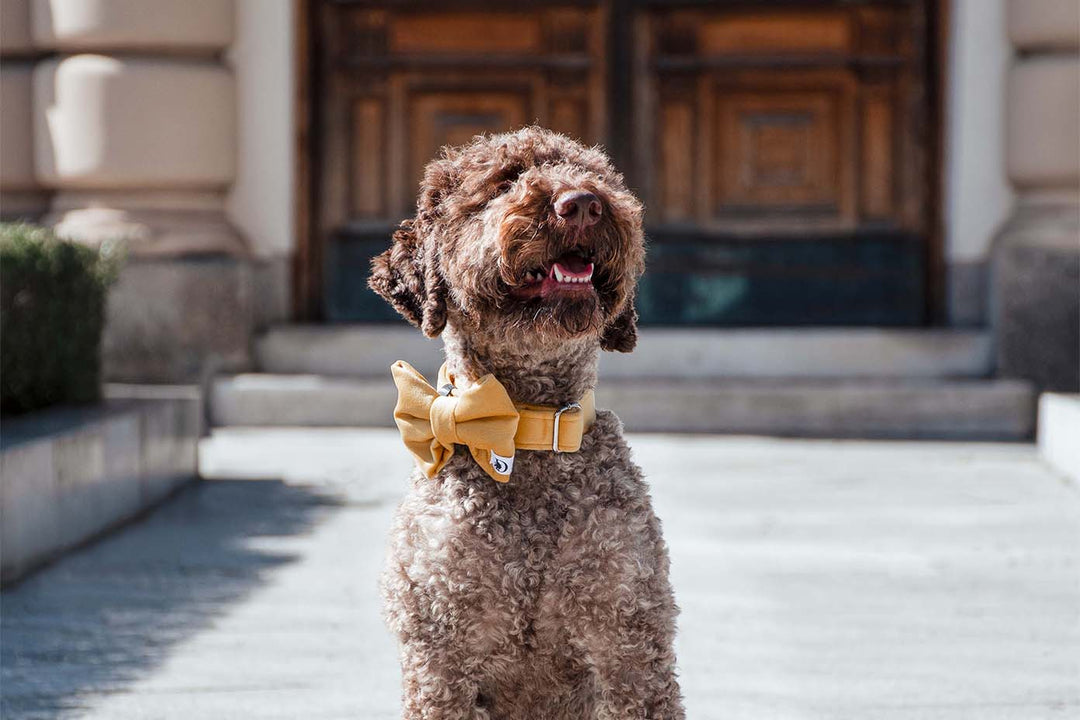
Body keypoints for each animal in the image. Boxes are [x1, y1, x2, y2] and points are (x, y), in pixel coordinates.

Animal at [371, 126, 682, 716]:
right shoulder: (438, 653)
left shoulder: (630, 642)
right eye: (503, 180)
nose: (581, 205)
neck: (523, 430)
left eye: (595, 176)